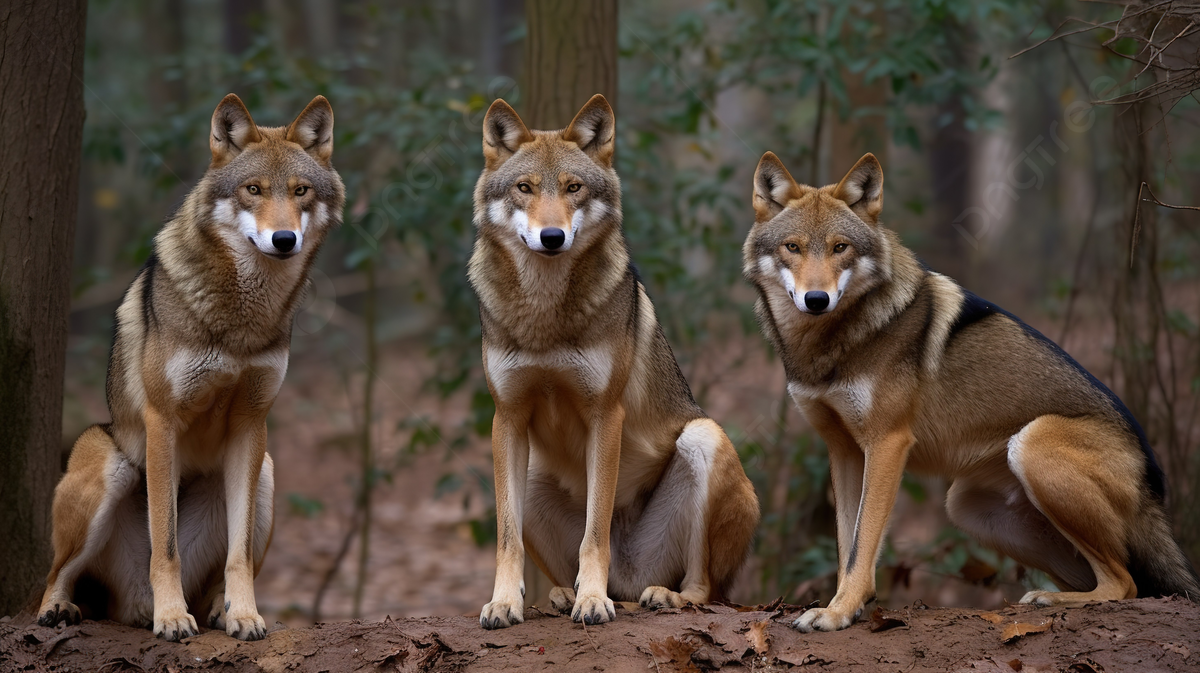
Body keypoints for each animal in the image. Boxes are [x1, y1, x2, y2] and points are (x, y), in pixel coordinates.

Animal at [37, 91, 345, 638]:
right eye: (253, 190)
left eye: (301, 191)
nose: (284, 239)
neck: (241, 319)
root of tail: (128, 606)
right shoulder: (163, 421)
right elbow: (166, 545)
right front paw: (172, 617)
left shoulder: (251, 424)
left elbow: (238, 557)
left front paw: (245, 614)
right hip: (110, 466)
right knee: (55, 576)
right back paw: (68, 610)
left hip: (266, 471)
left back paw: (219, 611)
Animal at [468, 91, 758, 628]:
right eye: (524, 188)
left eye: (573, 187)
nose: (553, 236)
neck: (545, 316)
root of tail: (631, 574)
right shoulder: (507, 418)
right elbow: (506, 537)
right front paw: (503, 602)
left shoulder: (606, 416)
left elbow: (595, 530)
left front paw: (592, 600)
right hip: (533, 471)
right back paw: (565, 595)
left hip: (703, 438)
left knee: (703, 588)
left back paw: (656, 597)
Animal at [744, 149, 1195, 633]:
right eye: (793, 247)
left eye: (839, 248)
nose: (816, 299)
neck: (827, 345)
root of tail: (1152, 475)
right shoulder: (845, 451)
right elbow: (849, 543)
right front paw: (846, 606)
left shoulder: (887, 444)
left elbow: (862, 544)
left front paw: (839, 611)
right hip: (968, 509)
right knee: (1116, 579)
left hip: (1031, 446)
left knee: (1125, 583)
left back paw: (1050, 600)